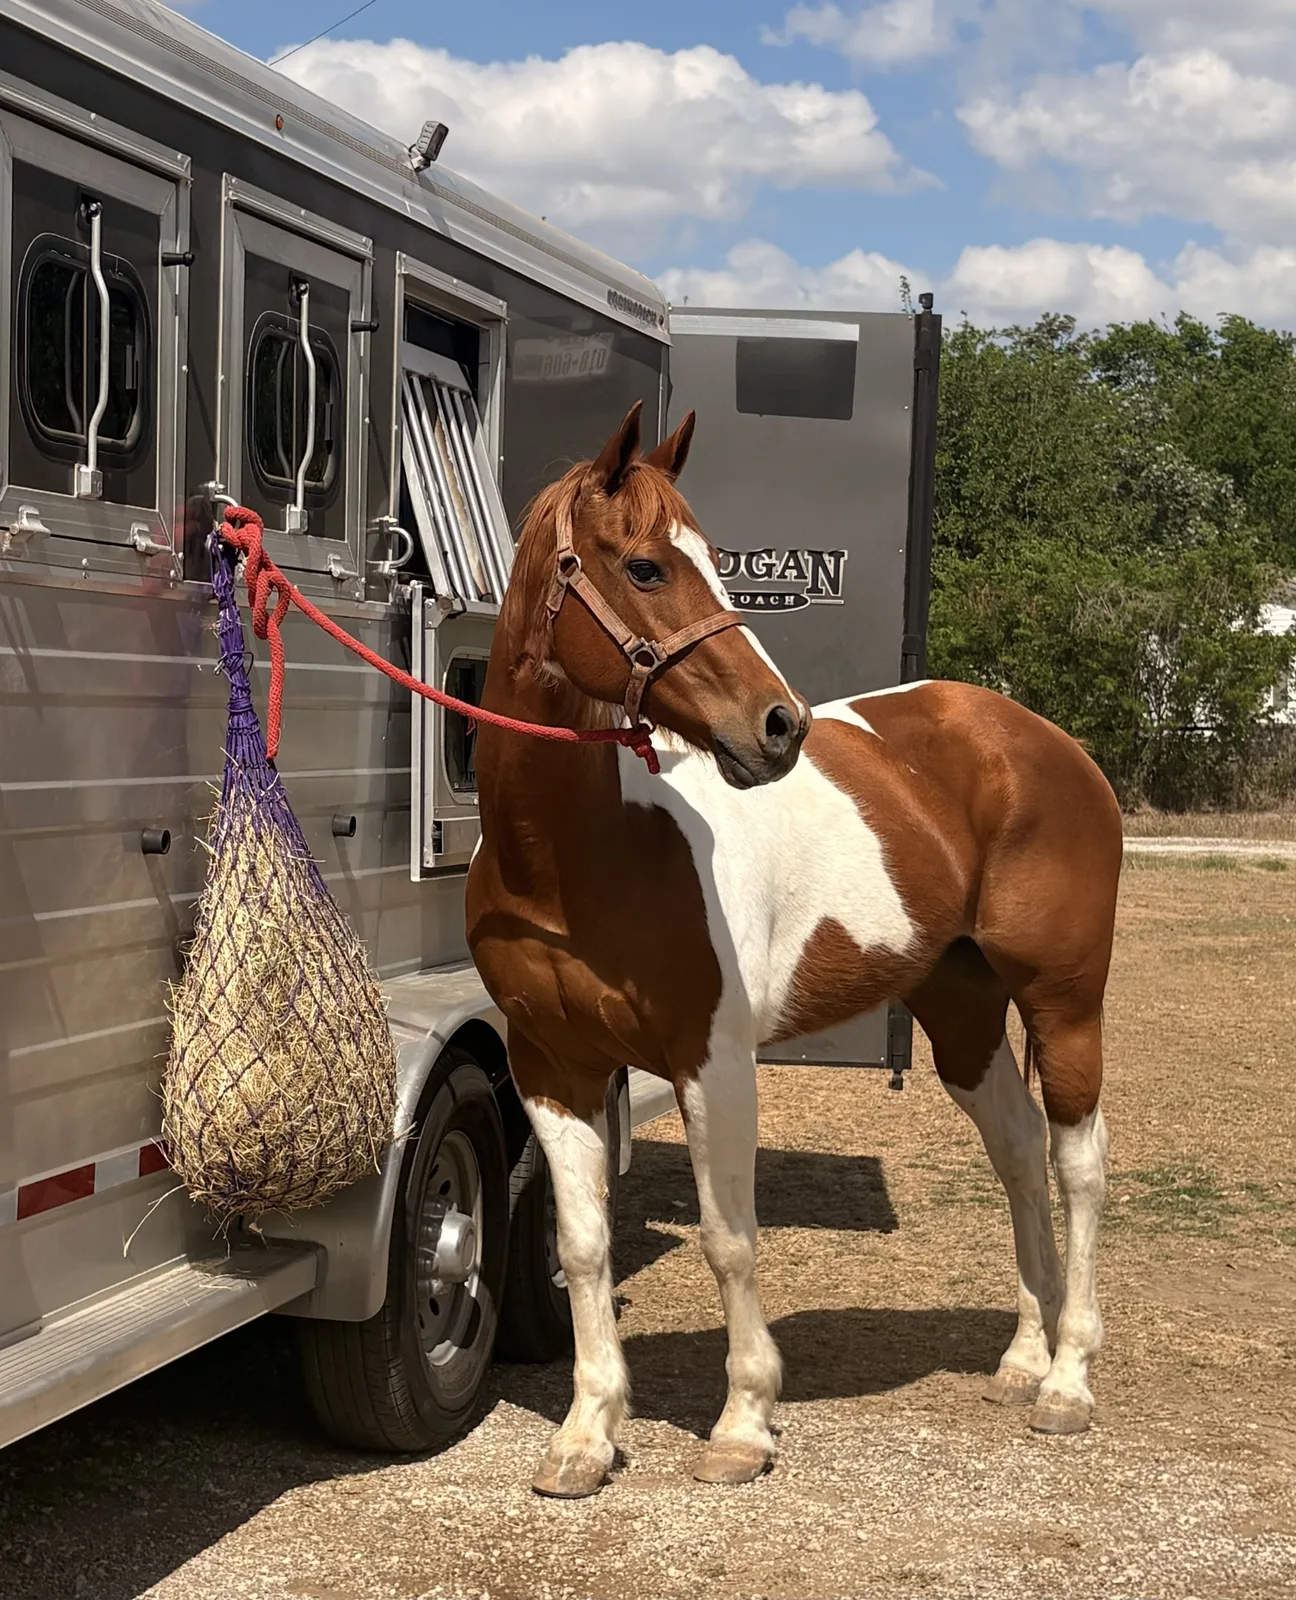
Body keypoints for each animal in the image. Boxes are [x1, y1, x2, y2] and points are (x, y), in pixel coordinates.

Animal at [465, 401, 1123, 1498]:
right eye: (644, 567)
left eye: (713, 557)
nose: (780, 725)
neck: (576, 854)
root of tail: (1042, 740)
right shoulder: (551, 1066)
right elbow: (585, 1244)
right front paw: (586, 1435)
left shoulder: (713, 1062)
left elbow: (729, 1239)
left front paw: (743, 1423)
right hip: (962, 1012)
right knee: (1020, 1152)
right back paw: (1024, 1360)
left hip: (1064, 1002)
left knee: (1078, 1162)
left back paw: (1070, 1379)